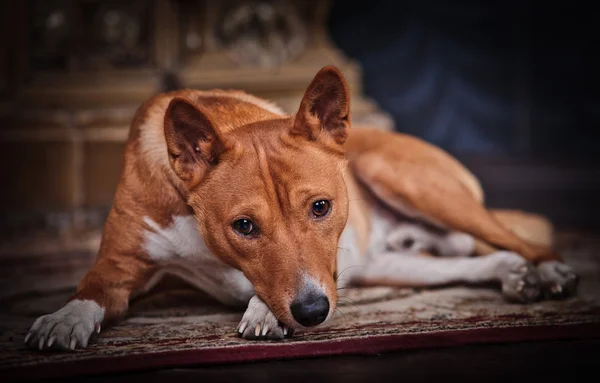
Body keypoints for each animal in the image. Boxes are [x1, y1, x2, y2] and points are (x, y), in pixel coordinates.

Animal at [24, 65, 576, 352]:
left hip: (410, 181)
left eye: (321, 207)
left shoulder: (324, 273)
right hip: (384, 265)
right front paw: (64, 318)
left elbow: (278, 285)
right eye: (244, 226)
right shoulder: (119, 264)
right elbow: (91, 288)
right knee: (472, 257)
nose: (312, 313)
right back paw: (510, 274)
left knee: (513, 237)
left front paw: (262, 312)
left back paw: (547, 272)